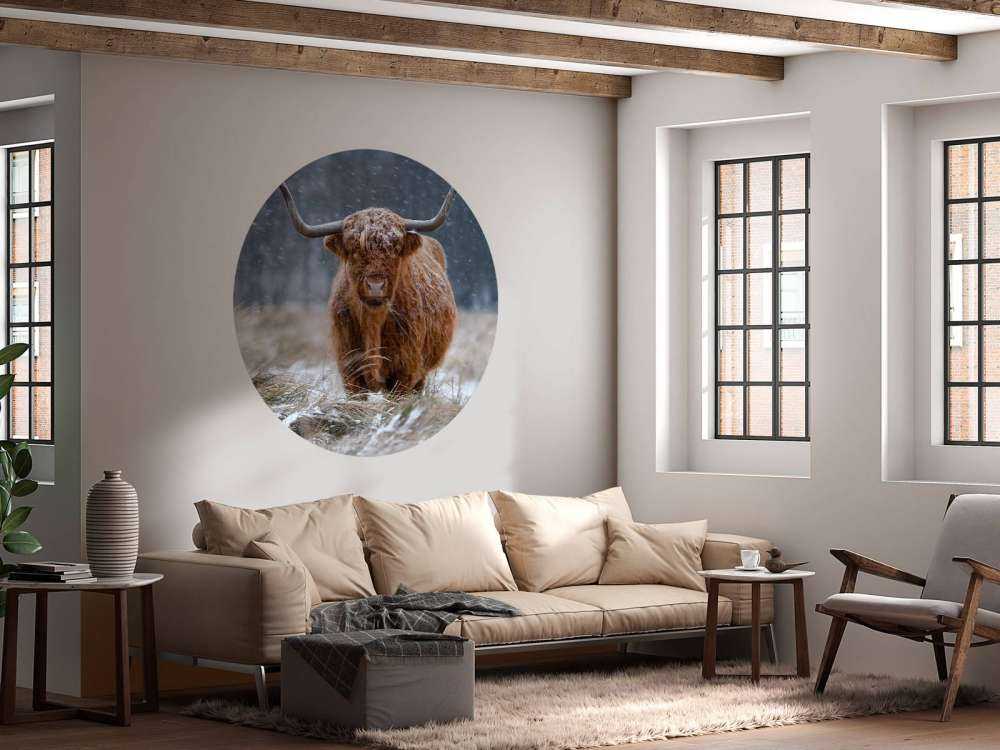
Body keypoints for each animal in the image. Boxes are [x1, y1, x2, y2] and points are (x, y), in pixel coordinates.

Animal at [279, 183, 458, 395]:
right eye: (354, 249)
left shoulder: (405, 371)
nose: (375, 286)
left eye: (395, 248)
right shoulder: (350, 370)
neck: (373, 322)